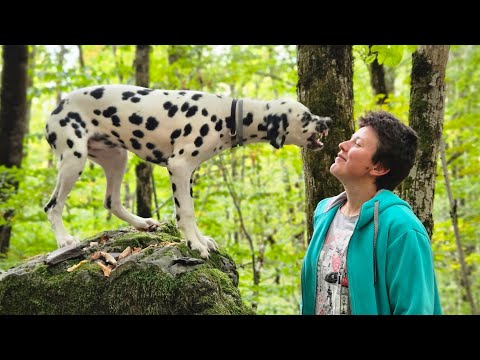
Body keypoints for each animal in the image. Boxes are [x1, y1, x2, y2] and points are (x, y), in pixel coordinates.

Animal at [44, 84, 330, 258]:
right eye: (306, 117)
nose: (328, 121)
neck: (229, 115)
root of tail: (56, 108)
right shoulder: (179, 167)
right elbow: (187, 213)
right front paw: (195, 244)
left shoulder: (189, 174)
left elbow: (189, 212)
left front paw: (202, 239)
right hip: (74, 159)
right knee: (52, 206)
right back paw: (64, 240)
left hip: (116, 158)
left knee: (111, 201)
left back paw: (142, 223)